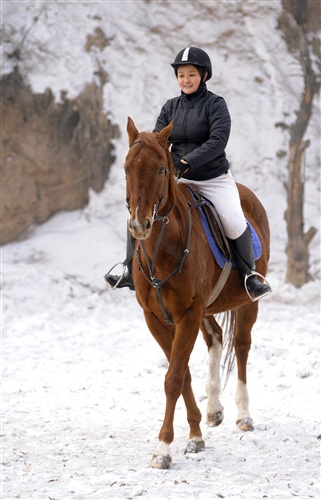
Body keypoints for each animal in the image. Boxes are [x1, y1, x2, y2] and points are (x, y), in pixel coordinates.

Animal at [122, 117, 270, 468]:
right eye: (126, 169)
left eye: (162, 169)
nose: (139, 225)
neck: (164, 248)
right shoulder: (157, 319)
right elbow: (183, 373)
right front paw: (195, 435)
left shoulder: (187, 315)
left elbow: (174, 378)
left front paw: (163, 449)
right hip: (206, 309)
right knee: (216, 338)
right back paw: (214, 408)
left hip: (246, 304)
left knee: (241, 346)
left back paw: (243, 415)